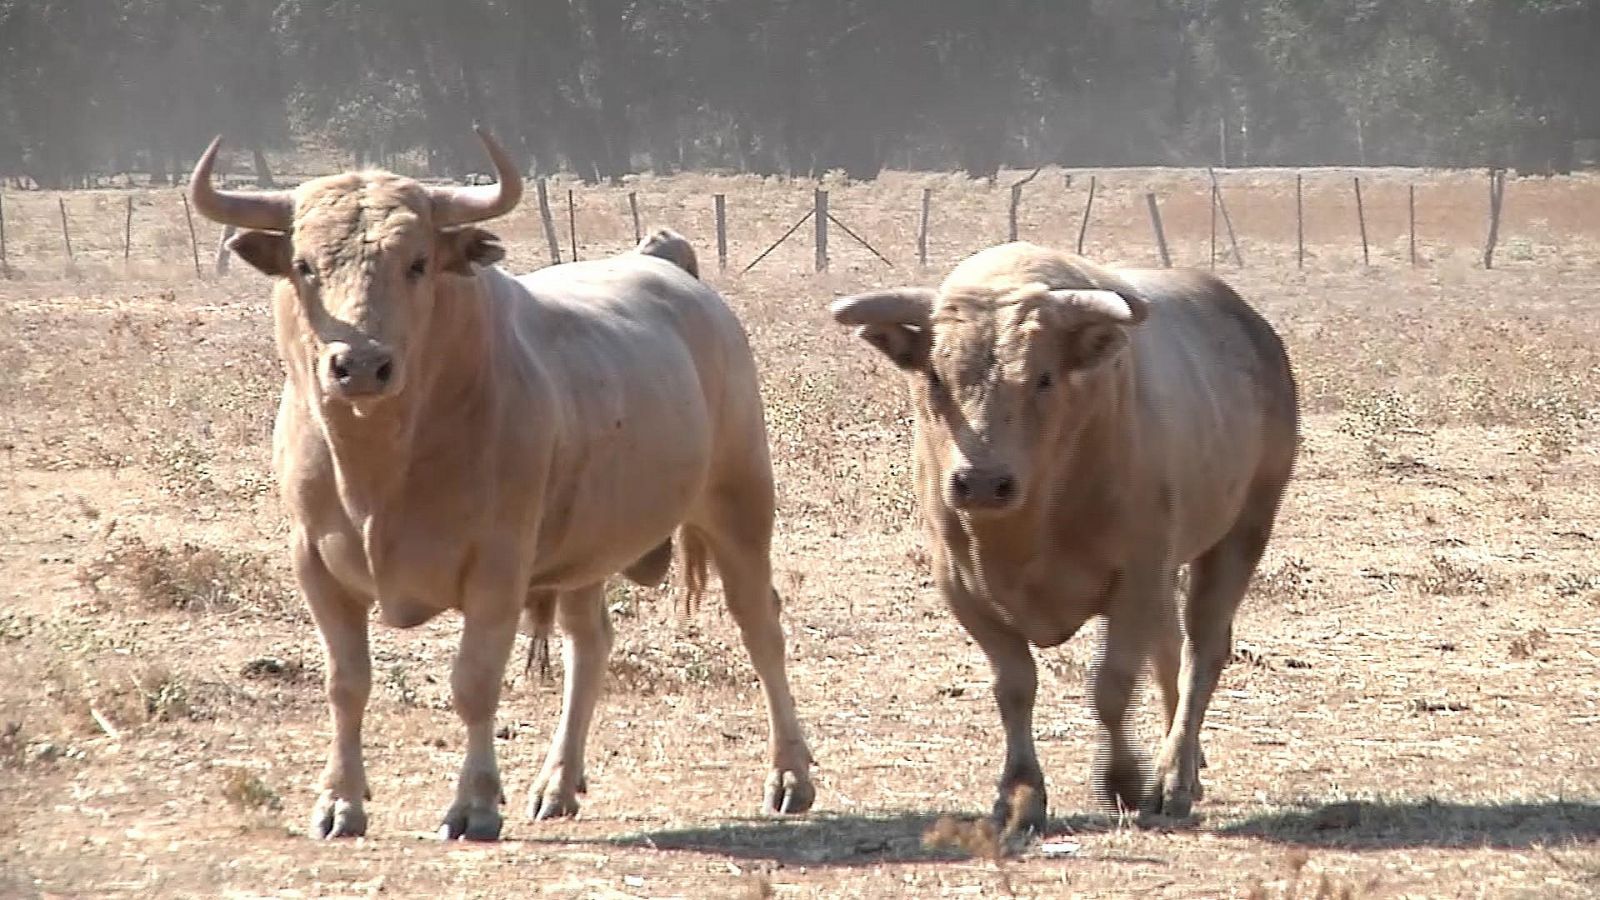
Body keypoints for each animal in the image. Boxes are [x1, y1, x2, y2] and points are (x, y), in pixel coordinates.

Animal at [187, 129, 812, 839]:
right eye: (304, 264)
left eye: (418, 263)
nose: (361, 365)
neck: (381, 469)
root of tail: (673, 270)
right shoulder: (315, 561)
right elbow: (346, 683)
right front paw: (339, 802)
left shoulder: (497, 566)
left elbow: (475, 682)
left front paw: (475, 803)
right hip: (587, 548)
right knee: (589, 643)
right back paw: (557, 784)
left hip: (739, 502)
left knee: (760, 624)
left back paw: (790, 776)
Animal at [832, 240, 1292, 826]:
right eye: (936, 377)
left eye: (1043, 378)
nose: (983, 483)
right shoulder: (962, 587)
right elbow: (1014, 686)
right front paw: (1021, 792)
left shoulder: (1136, 576)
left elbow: (1112, 686)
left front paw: (1124, 780)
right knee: (1169, 650)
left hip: (1243, 529)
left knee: (1202, 651)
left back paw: (1175, 775)